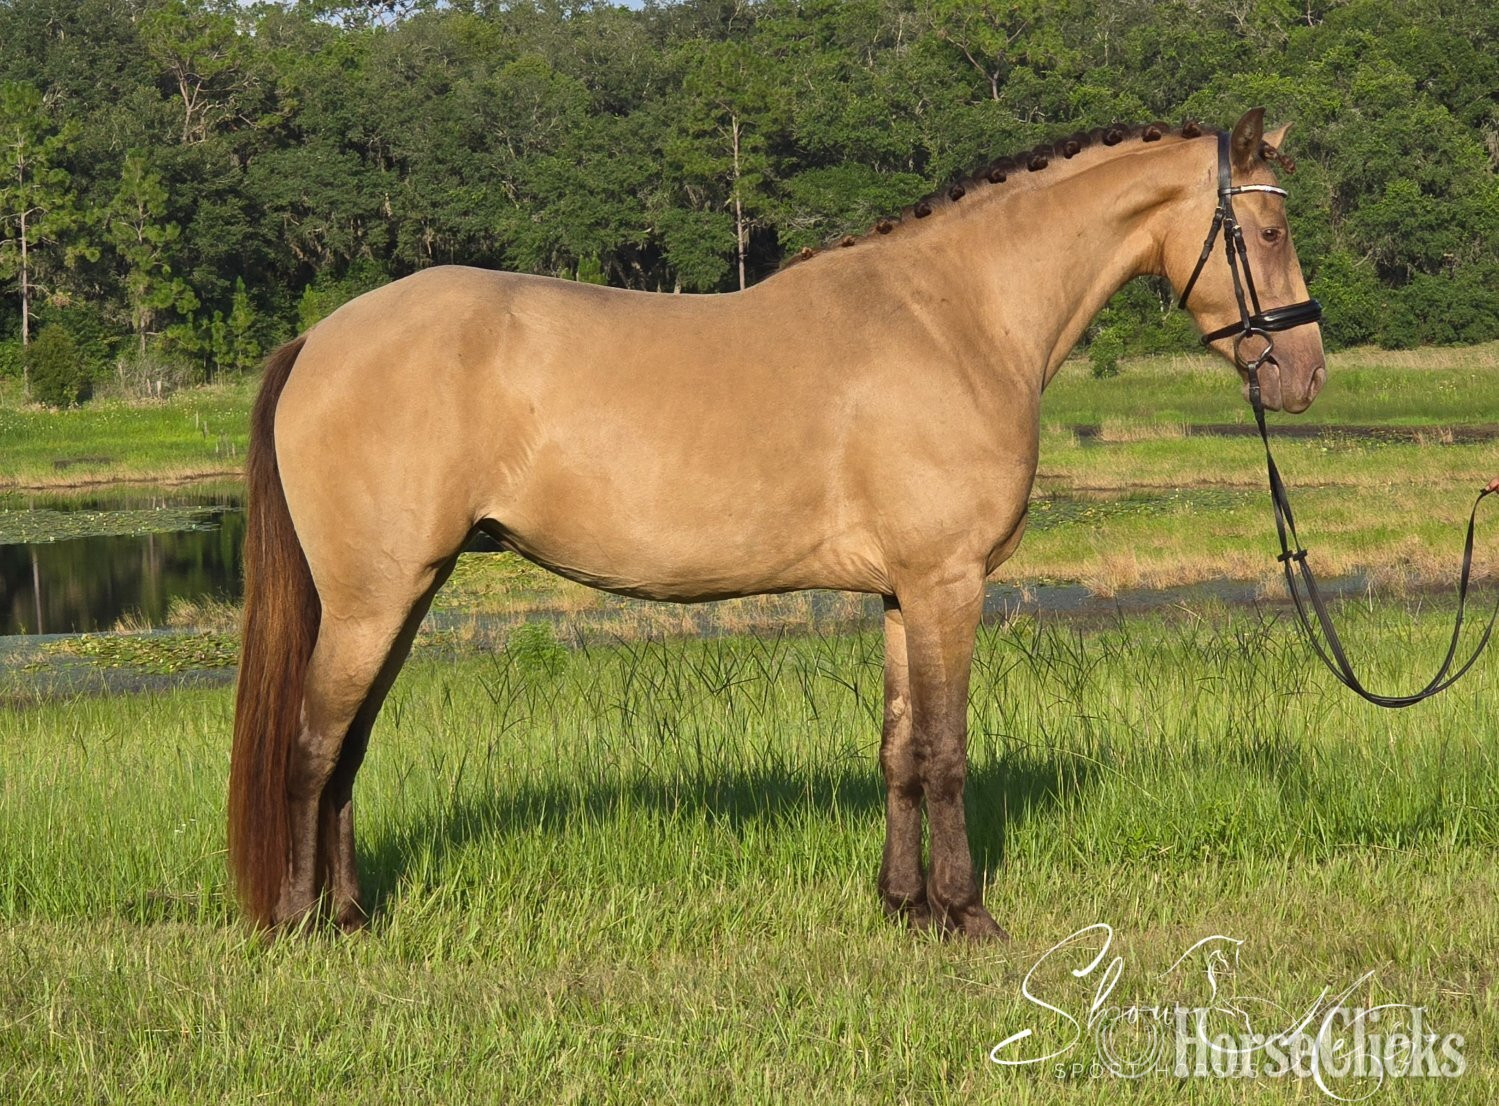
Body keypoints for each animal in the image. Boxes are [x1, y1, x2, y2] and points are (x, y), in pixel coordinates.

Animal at [229, 108, 1326, 940]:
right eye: (1269, 235)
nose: (1302, 373)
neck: (953, 317)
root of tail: (319, 339)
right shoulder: (949, 583)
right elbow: (947, 749)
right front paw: (966, 914)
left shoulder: (902, 594)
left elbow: (898, 751)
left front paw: (904, 907)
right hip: (372, 599)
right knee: (313, 745)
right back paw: (298, 923)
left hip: (403, 595)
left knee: (348, 750)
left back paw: (352, 914)